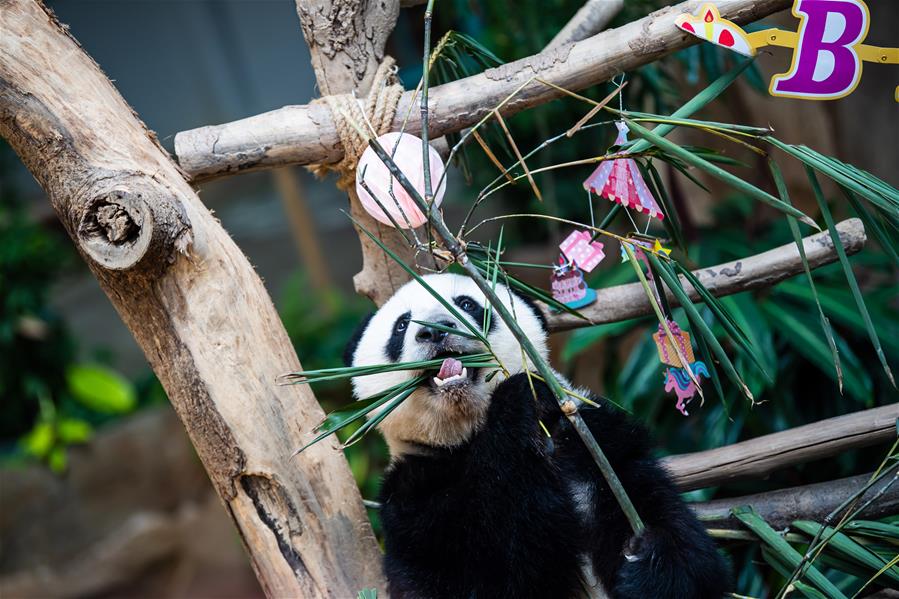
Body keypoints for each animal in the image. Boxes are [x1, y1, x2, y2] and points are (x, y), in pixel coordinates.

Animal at [344, 274, 732, 596]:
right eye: (401, 325)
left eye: (467, 304)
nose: (435, 330)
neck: (469, 432)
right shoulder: (416, 496)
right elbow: (499, 561)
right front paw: (518, 402)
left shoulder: (595, 443)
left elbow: (657, 510)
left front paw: (656, 568)